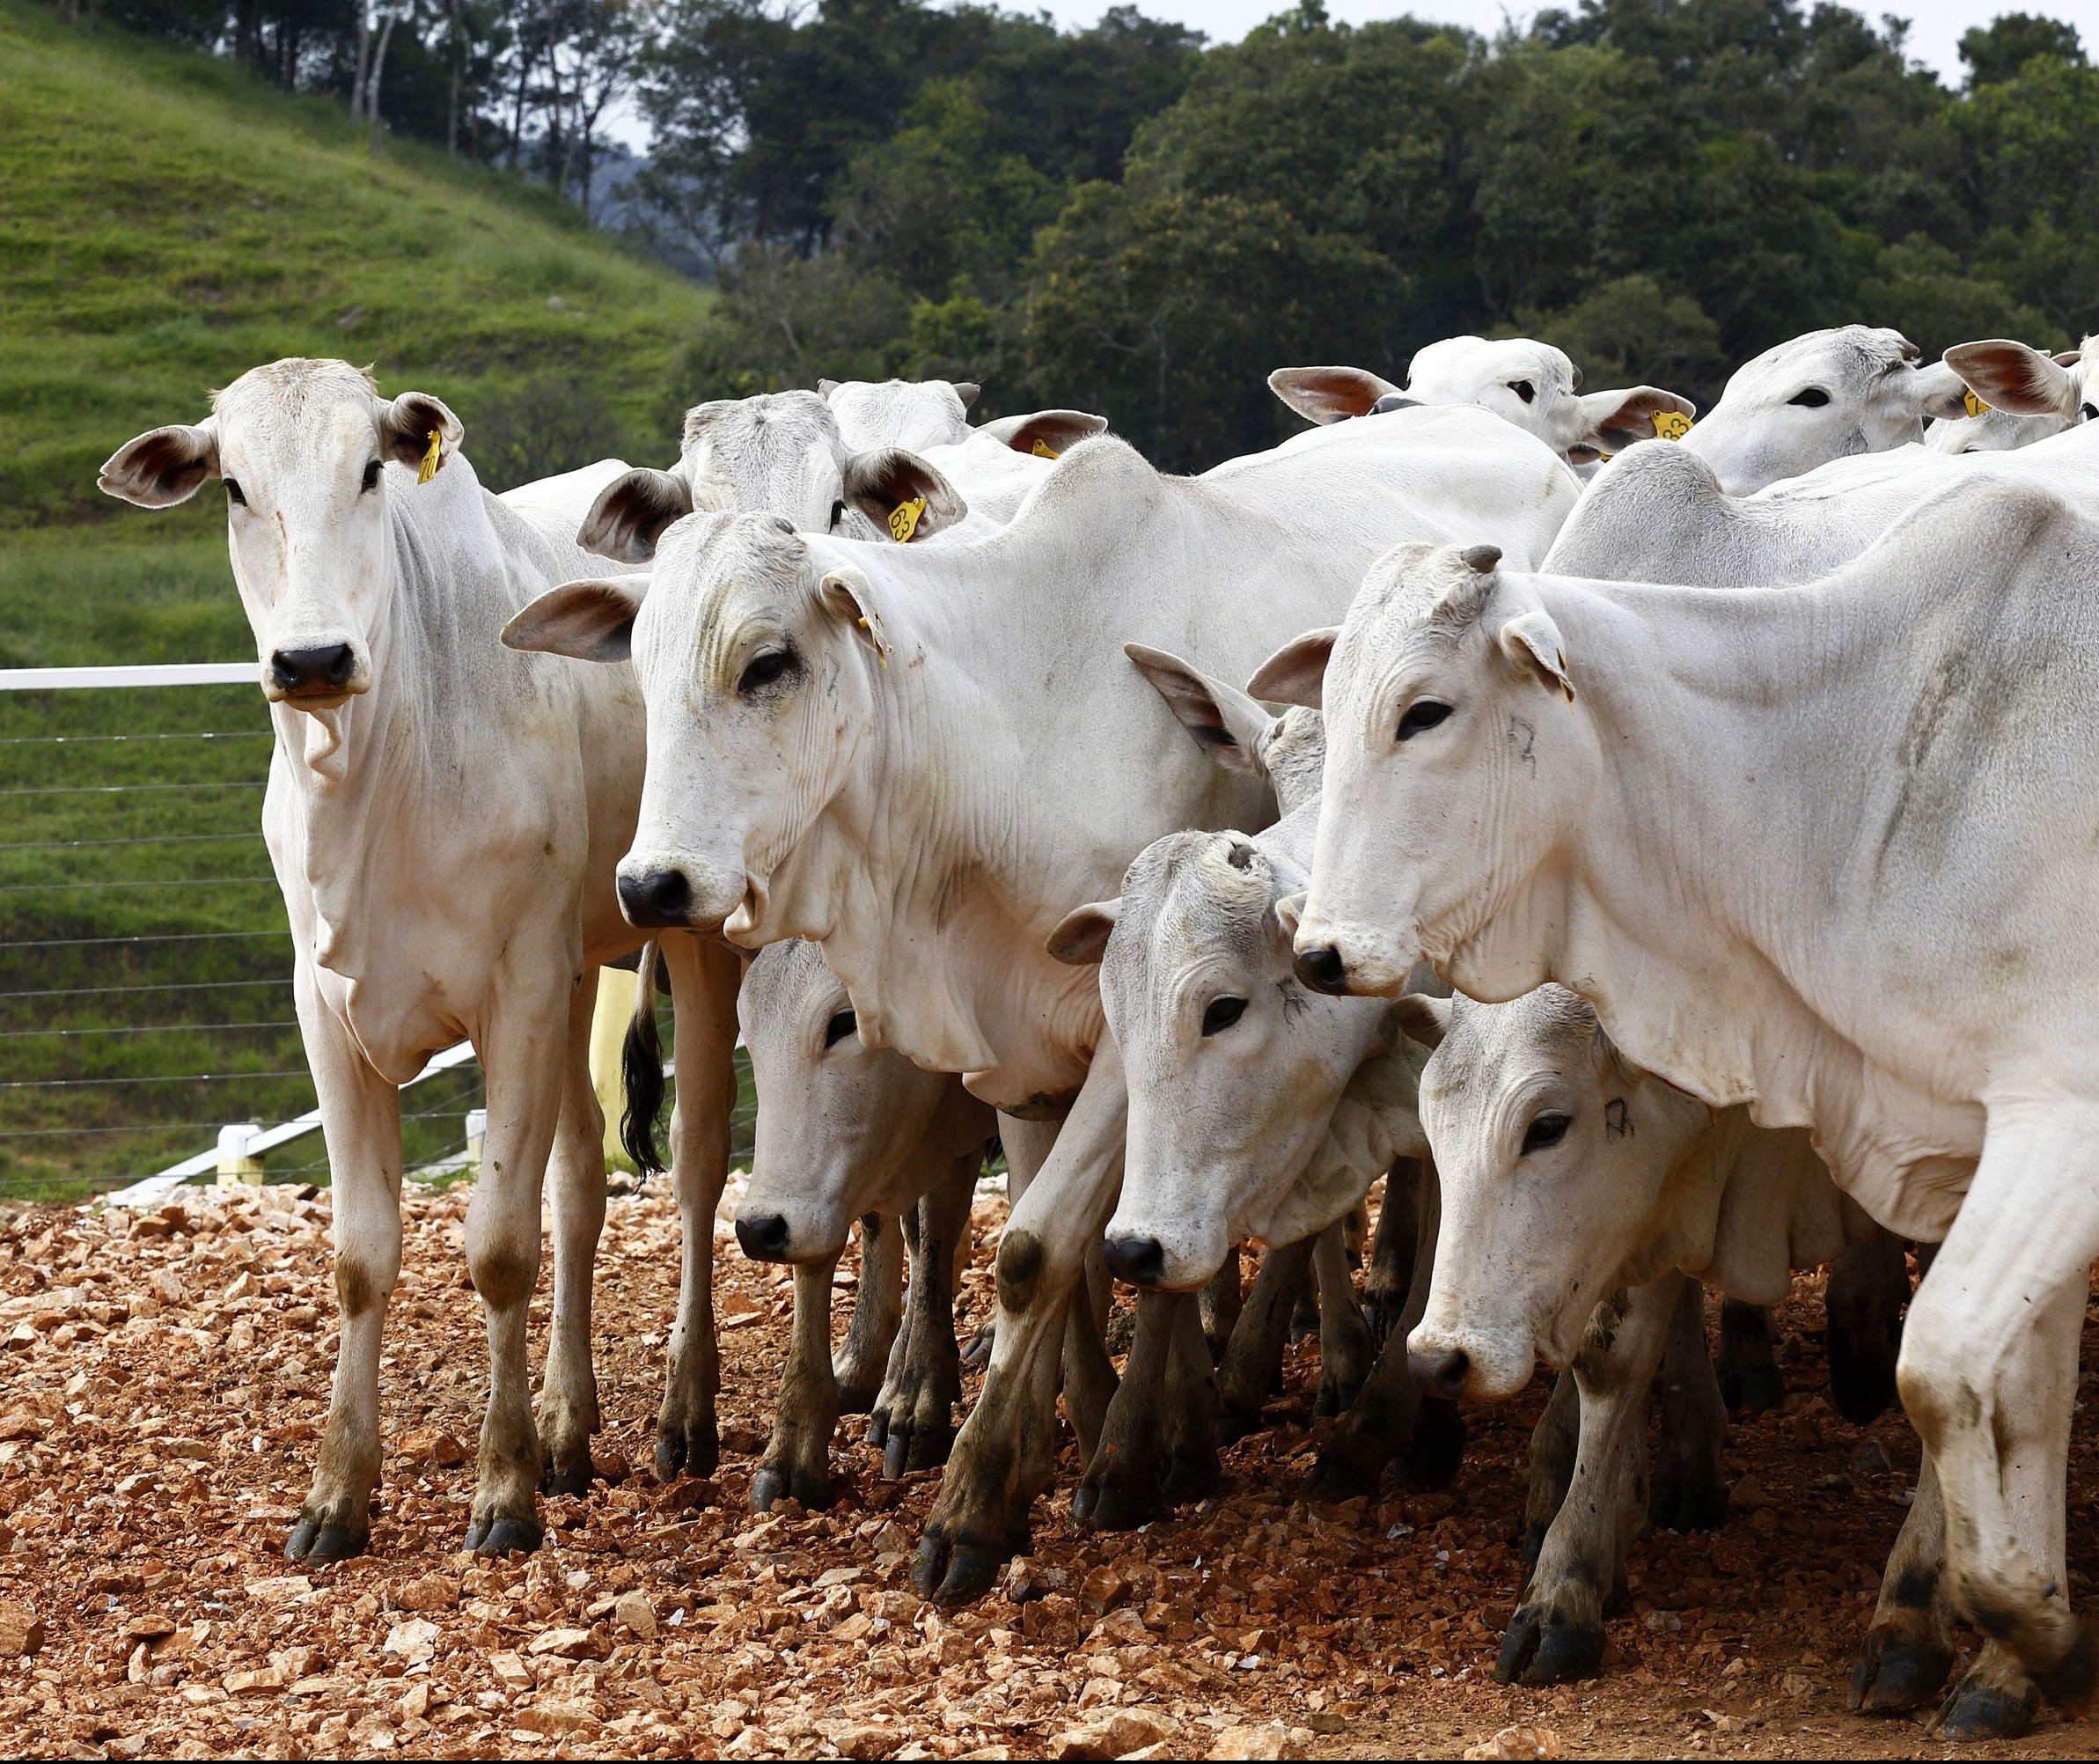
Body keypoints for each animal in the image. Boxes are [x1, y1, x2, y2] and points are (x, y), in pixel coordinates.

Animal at [104, 358, 755, 1554]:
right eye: (233, 487)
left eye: (371, 468)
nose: (313, 659)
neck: (377, 780)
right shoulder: (330, 1011)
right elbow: (364, 1255)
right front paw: (338, 1494)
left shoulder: (518, 995)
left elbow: (499, 1247)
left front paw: (501, 1492)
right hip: (581, 966)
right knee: (581, 1182)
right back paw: (567, 1430)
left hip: (687, 940)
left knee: (694, 1163)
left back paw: (684, 1416)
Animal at [508, 403, 1578, 1596]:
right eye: (641, 675)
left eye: (769, 663)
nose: (653, 885)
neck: (1012, 722)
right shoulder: (1017, 1048)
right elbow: (1050, 1248)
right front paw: (1073, 1432)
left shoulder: (1135, 1041)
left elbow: (1046, 1251)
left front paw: (1003, 1497)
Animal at [1267, 489, 2099, 1730]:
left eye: (1425, 710)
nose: (1319, 952)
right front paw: (1566, 1580)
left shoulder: (2048, 1124)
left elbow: (1949, 1371)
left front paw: (1990, 1626)